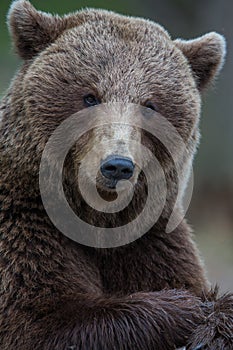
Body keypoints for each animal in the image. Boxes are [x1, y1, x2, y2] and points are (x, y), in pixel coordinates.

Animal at [0, 0, 233, 348]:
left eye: (150, 105)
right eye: (90, 96)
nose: (118, 166)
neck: (97, 219)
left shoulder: (150, 239)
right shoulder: (23, 225)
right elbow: (41, 324)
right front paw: (187, 307)